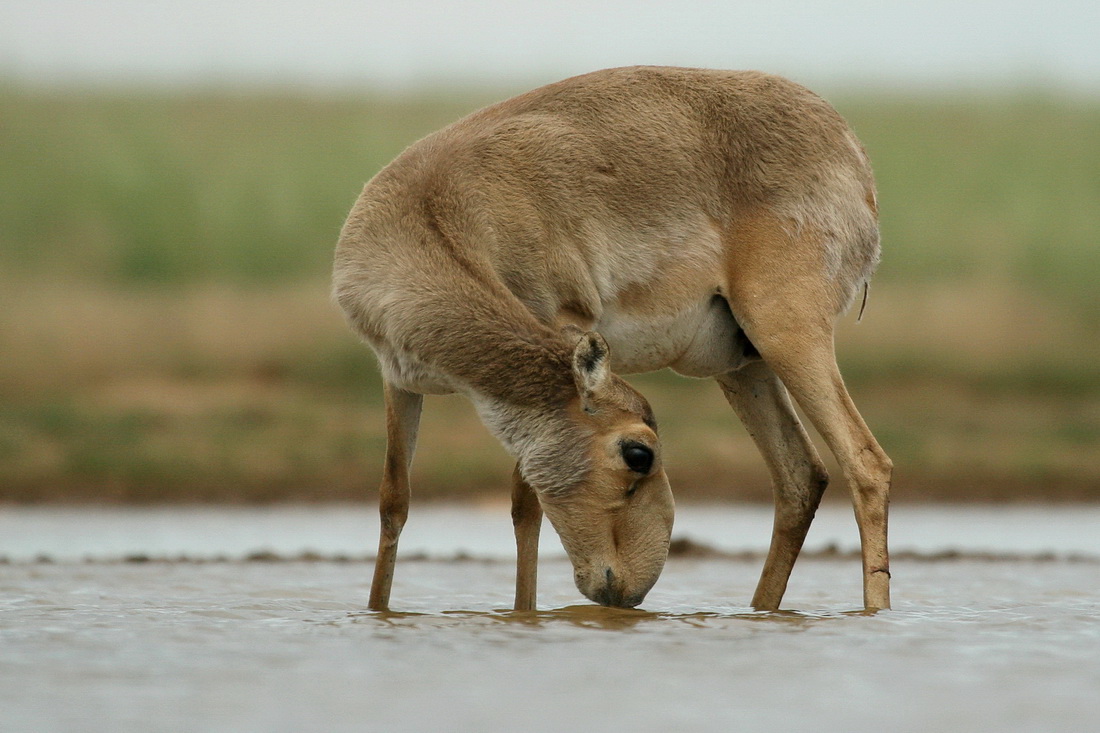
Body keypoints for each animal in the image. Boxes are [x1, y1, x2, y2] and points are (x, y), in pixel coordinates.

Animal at [334, 65, 893, 611]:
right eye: (639, 453)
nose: (631, 590)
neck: (433, 214)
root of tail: (853, 151)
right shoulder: (397, 377)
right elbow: (394, 500)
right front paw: (377, 609)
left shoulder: (561, 324)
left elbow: (524, 504)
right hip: (741, 364)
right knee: (801, 477)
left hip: (787, 334)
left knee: (866, 463)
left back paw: (876, 610)